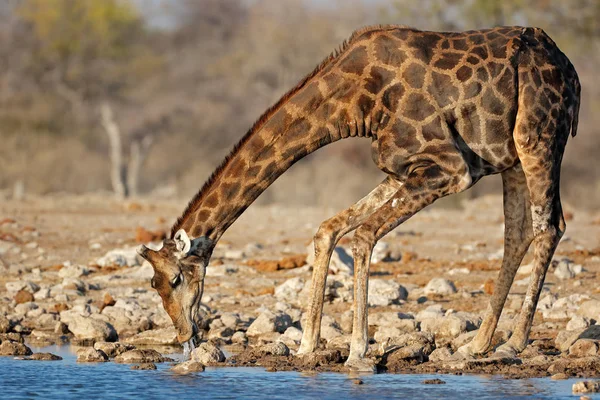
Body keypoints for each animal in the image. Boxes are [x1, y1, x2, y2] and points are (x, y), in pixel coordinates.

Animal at [138, 24, 580, 368]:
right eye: (154, 286)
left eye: (175, 279)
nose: (185, 338)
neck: (354, 103)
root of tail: (571, 73)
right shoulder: (401, 168)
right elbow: (328, 228)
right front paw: (306, 346)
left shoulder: (450, 167)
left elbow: (363, 235)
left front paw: (357, 350)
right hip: (511, 159)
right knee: (518, 232)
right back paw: (477, 344)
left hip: (538, 138)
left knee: (549, 226)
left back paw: (513, 343)